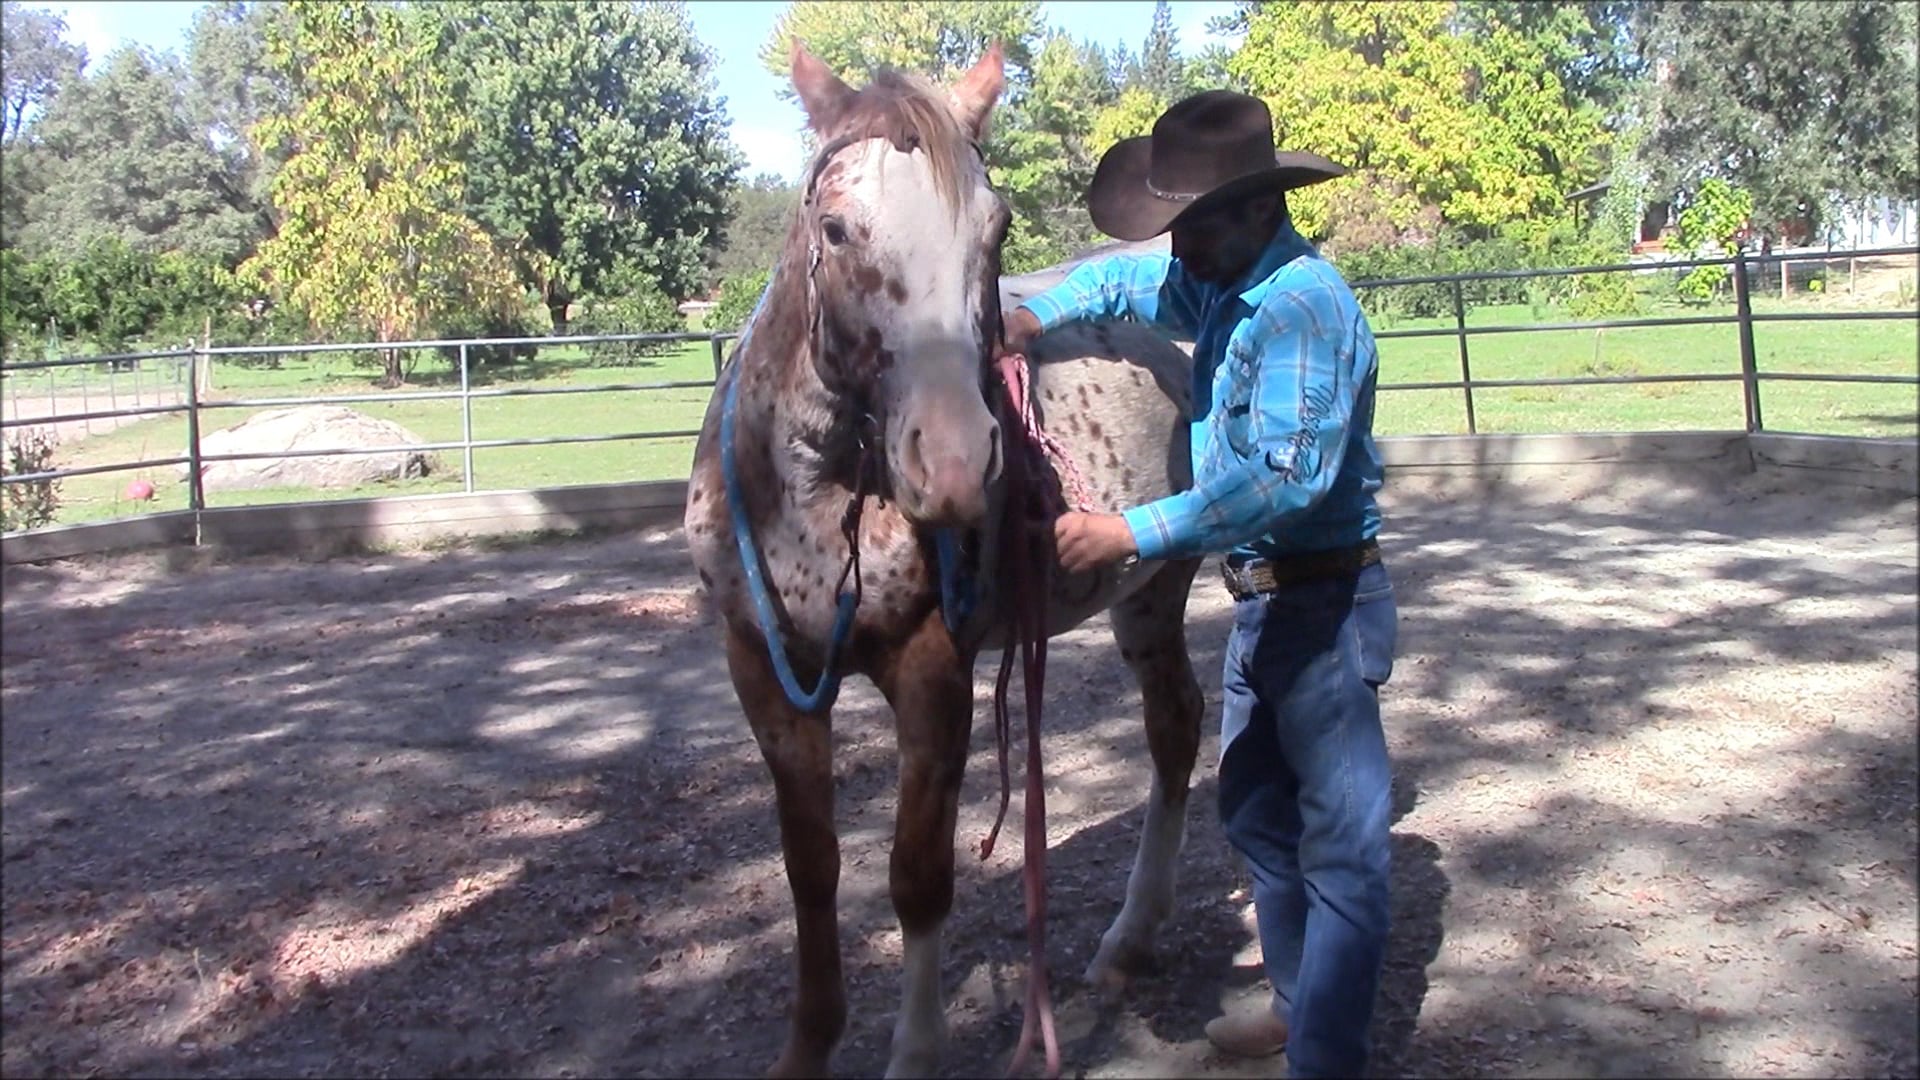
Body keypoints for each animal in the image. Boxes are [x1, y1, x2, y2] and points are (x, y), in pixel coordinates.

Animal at [684, 41, 1207, 1079]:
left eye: (994, 227)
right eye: (836, 227)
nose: (958, 464)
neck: (812, 492)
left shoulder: (934, 670)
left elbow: (916, 875)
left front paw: (916, 1050)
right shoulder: (764, 673)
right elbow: (812, 871)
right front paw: (807, 1047)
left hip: (1161, 584)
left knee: (1175, 732)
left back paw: (1129, 936)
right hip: (1139, 602)